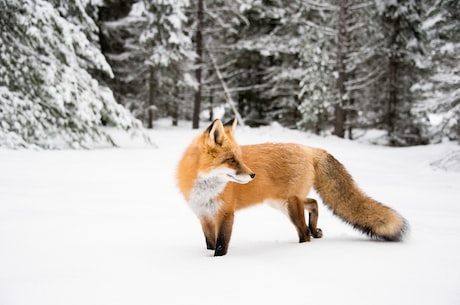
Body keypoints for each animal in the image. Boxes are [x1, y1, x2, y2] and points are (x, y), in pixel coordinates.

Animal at [176, 117, 406, 255]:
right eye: (231, 160)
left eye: (239, 158)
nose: (252, 174)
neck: (205, 189)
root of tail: (308, 148)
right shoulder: (204, 216)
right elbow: (210, 243)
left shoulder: (225, 214)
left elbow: (221, 245)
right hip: (281, 203)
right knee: (313, 203)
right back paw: (315, 230)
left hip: (290, 205)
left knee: (304, 232)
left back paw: (303, 246)